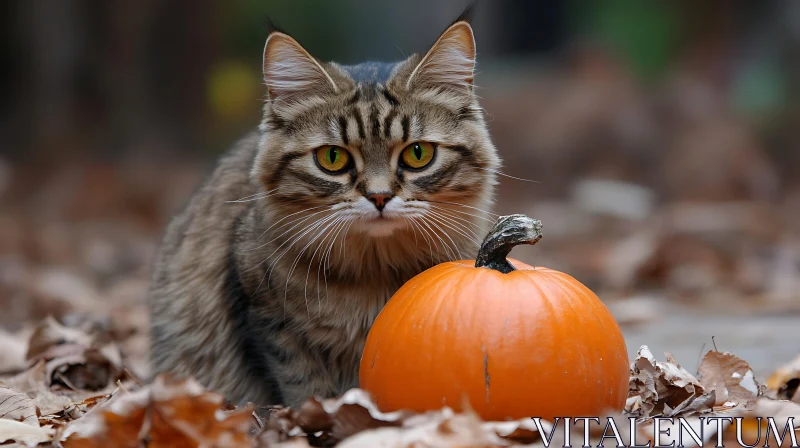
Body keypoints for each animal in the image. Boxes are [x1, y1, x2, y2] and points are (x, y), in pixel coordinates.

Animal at [147, 14, 500, 408]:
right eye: (333, 158)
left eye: (418, 153)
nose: (379, 197)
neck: (374, 274)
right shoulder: (268, 321)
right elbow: (304, 387)